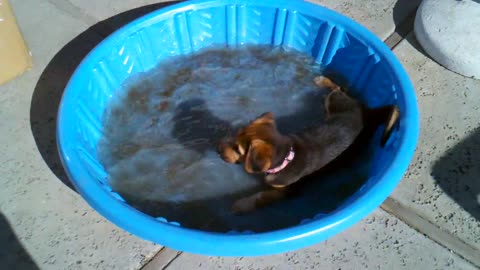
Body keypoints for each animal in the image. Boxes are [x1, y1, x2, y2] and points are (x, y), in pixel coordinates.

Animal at [219, 76, 400, 215]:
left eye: (237, 149)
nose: (218, 149)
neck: (286, 157)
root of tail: (368, 113)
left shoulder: (289, 191)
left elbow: (262, 196)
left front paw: (241, 205)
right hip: (335, 103)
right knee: (338, 89)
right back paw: (321, 81)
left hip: (337, 103)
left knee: (338, 89)